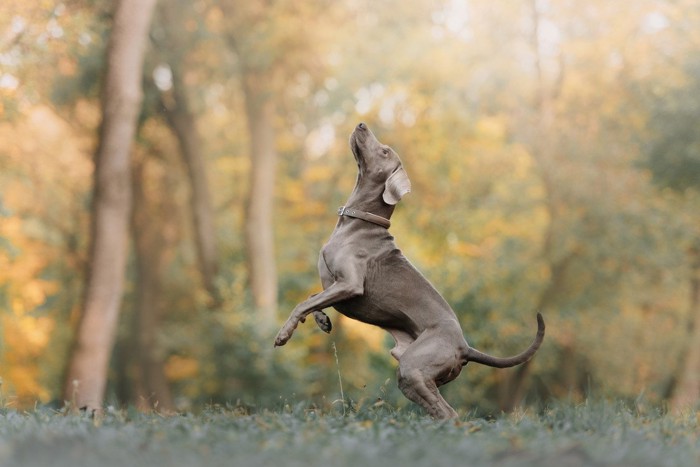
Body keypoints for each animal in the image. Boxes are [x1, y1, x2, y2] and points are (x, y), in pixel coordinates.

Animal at [274, 122, 548, 418]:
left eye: (384, 151)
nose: (362, 124)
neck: (357, 222)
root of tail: (465, 346)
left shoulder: (350, 284)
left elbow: (301, 304)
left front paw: (283, 335)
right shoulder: (332, 285)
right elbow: (313, 298)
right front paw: (323, 320)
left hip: (413, 369)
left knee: (449, 414)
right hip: (415, 374)